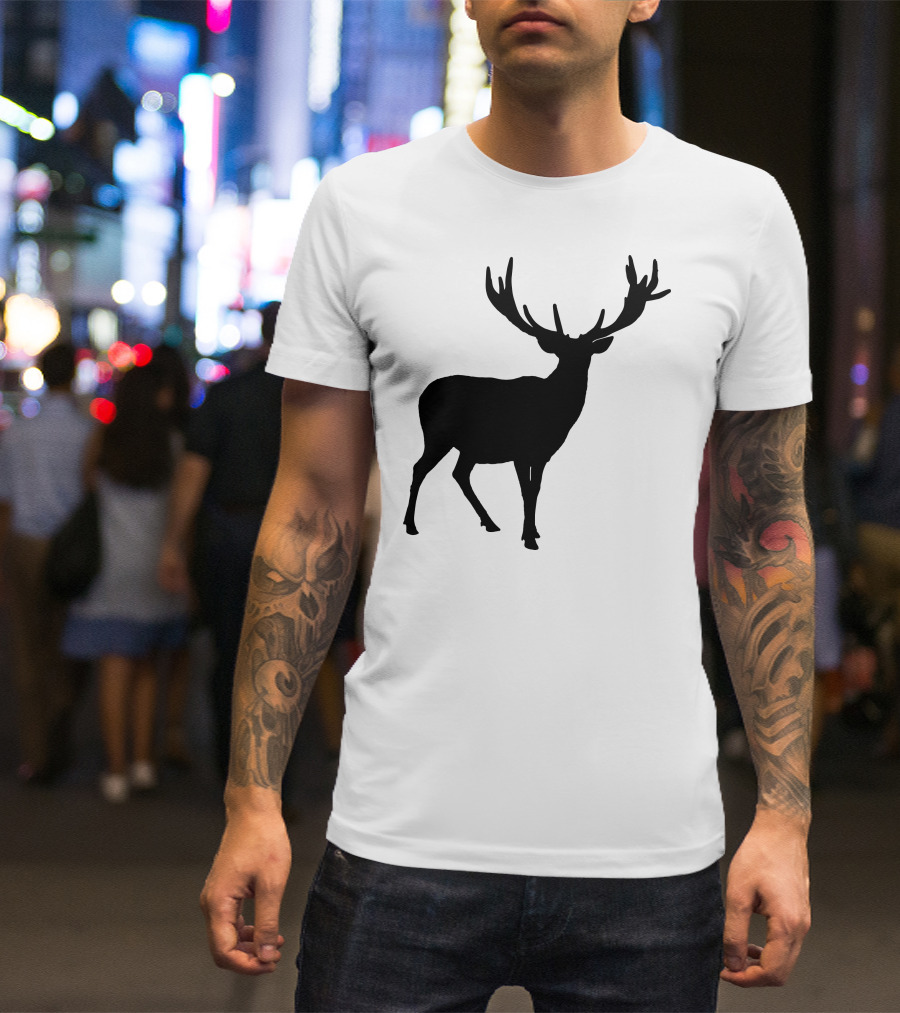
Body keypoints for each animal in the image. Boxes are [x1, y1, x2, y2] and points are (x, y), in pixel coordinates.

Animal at [403, 255, 671, 550]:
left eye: (586, 354)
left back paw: (490, 522)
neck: (553, 415)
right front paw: (529, 538)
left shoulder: (543, 453)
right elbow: (526, 490)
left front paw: (534, 532)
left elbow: (536, 489)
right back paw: (411, 526)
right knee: (419, 468)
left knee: (459, 474)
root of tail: (424, 393)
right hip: (437, 435)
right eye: (561, 353)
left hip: (469, 446)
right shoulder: (521, 448)